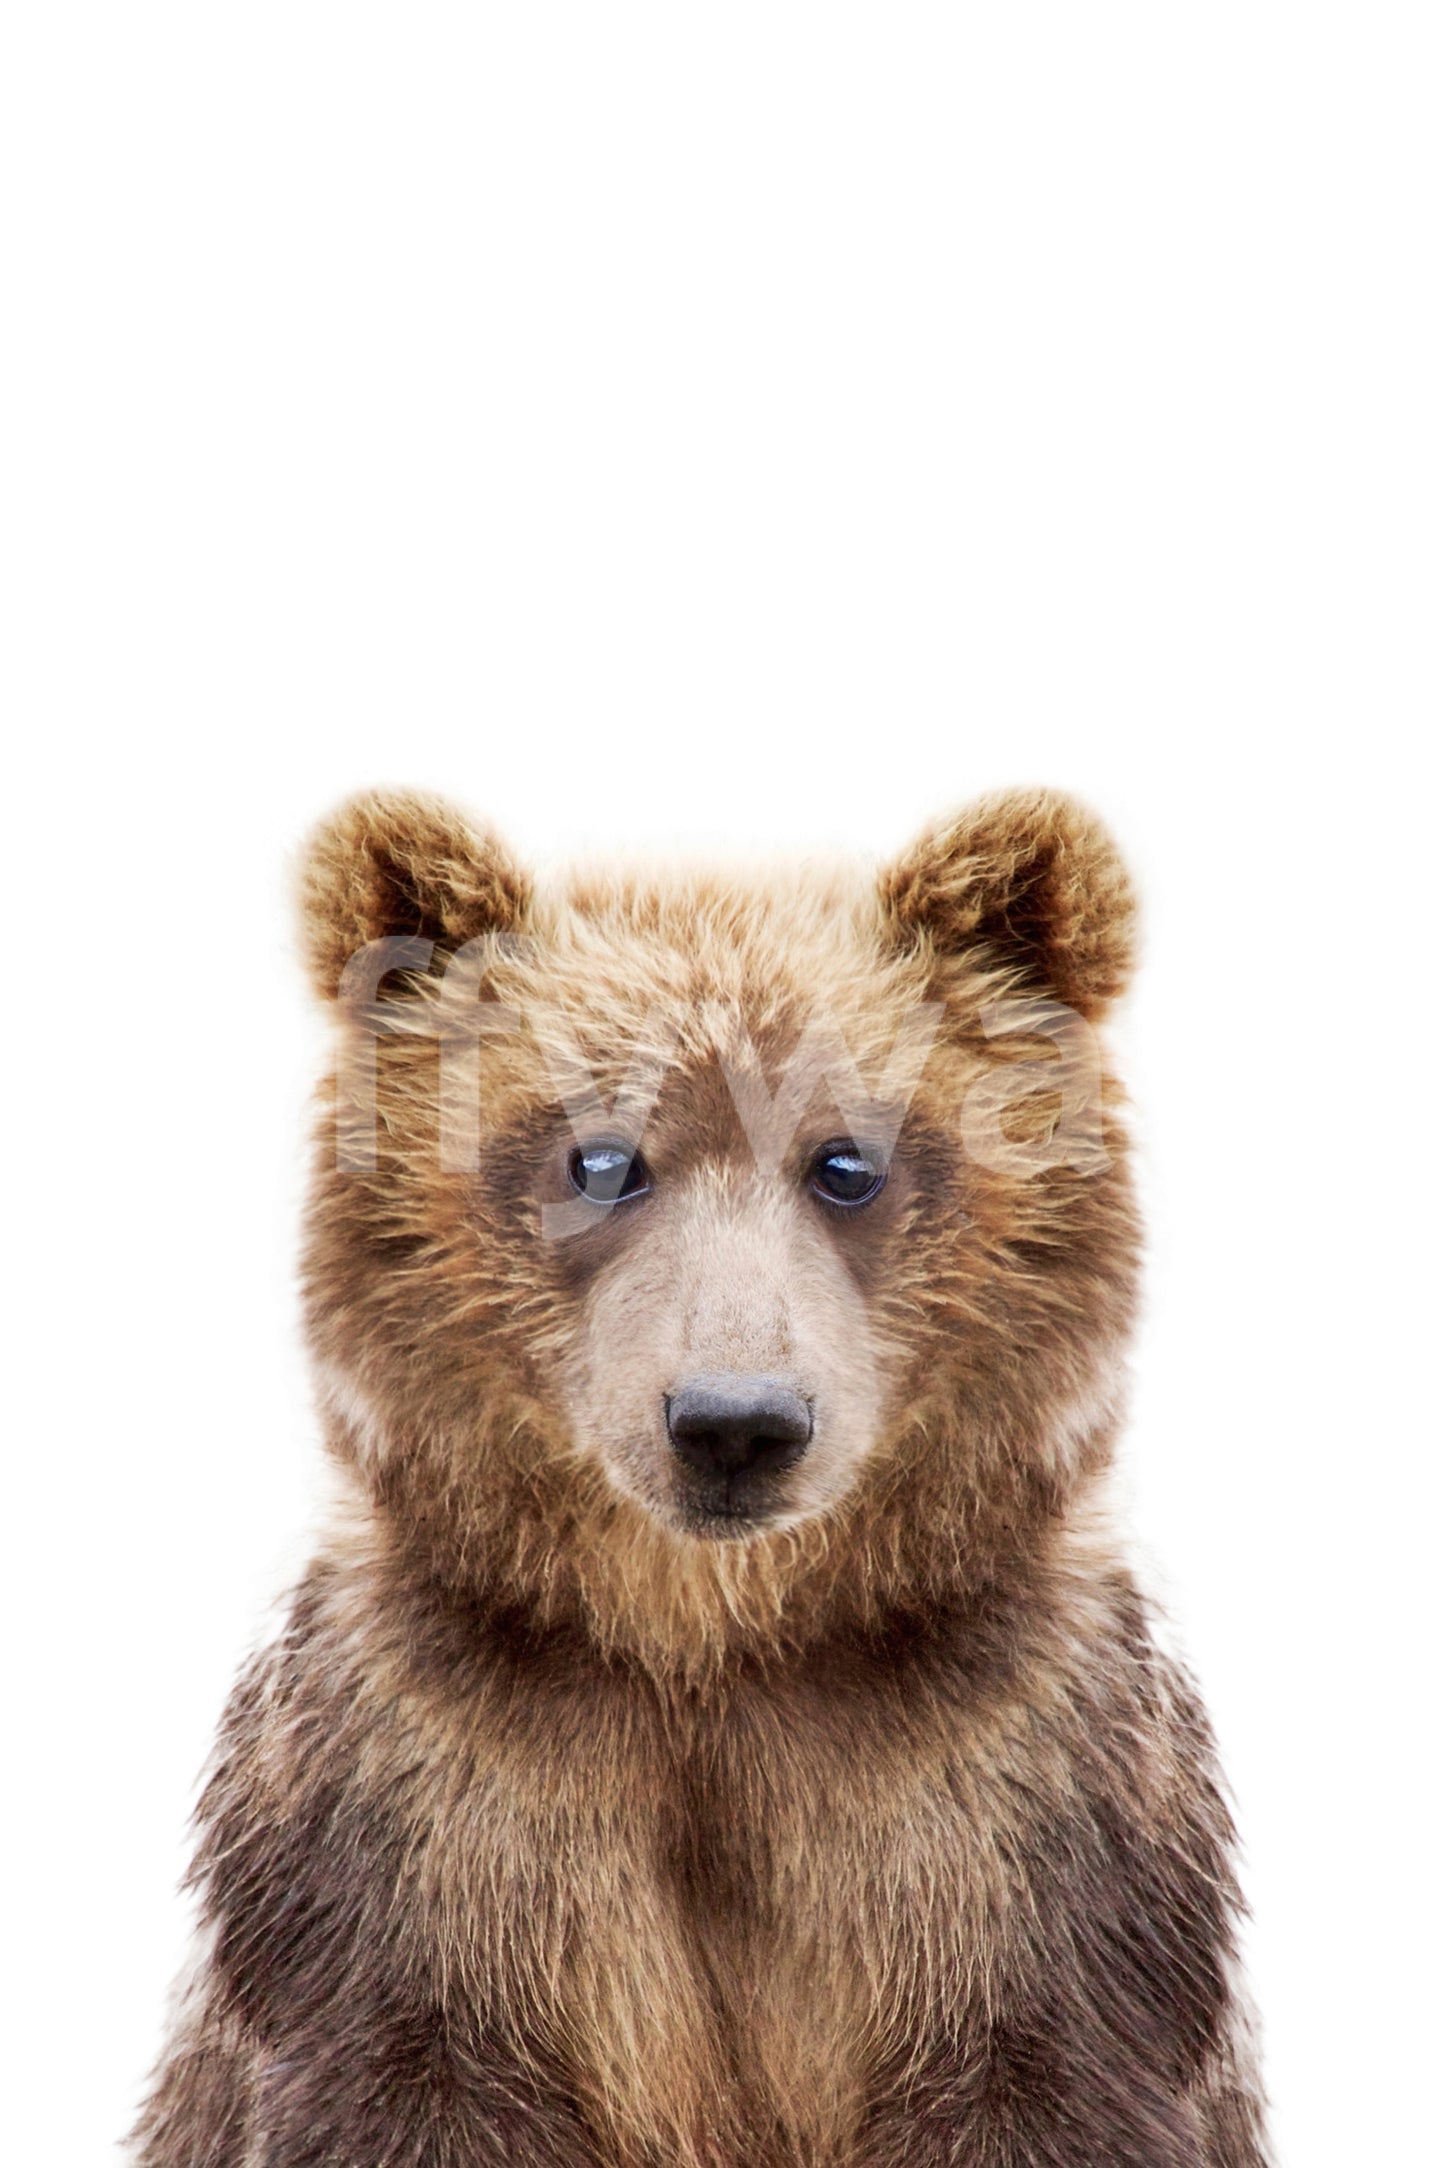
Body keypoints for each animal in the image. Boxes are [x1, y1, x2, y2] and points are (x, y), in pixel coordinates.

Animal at [130, 786, 1270, 2167]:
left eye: (847, 1160)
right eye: (600, 1157)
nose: (734, 1421)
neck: (711, 1644)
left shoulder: (1019, 1813)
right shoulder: (419, 1813)